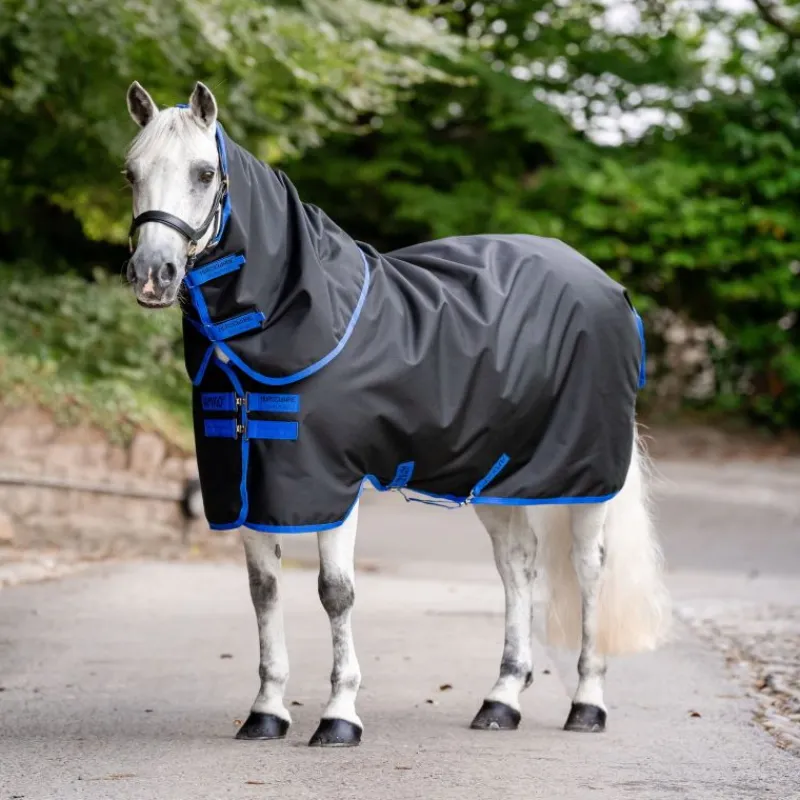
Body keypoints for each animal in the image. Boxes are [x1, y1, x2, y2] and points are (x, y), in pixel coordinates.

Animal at [122, 80, 671, 747]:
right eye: (130, 173)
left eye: (204, 173)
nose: (153, 275)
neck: (294, 316)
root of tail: (611, 289)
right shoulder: (249, 482)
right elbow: (264, 592)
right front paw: (266, 711)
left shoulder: (332, 483)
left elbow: (335, 593)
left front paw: (339, 715)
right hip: (496, 475)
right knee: (517, 568)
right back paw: (501, 700)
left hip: (586, 479)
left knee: (589, 571)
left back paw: (587, 703)